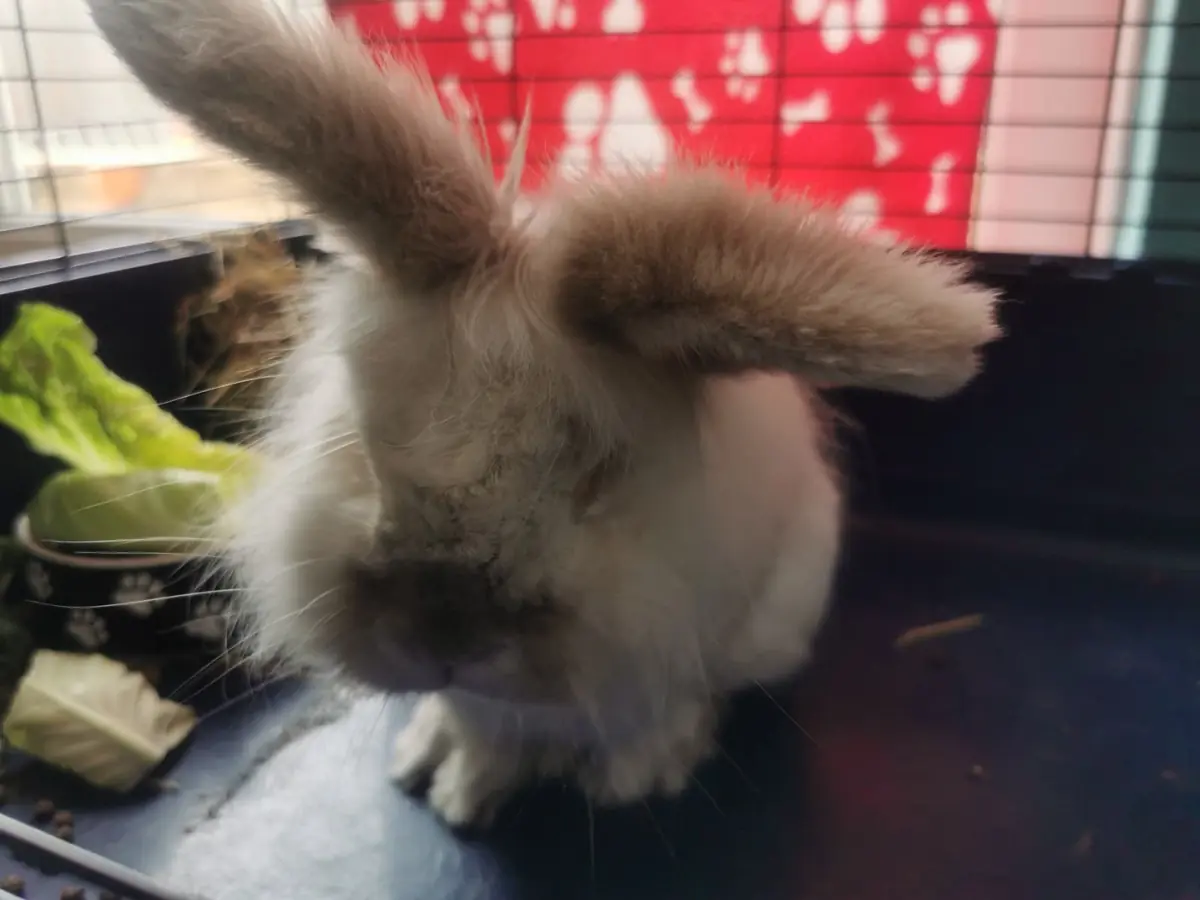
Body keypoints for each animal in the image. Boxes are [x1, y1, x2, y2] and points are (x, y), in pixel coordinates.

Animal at [88, 0, 1001, 828]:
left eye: (598, 473)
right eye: (365, 439)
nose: (443, 633)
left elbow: (652, 717)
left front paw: (631, 783)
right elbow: (480, 730)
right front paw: (457, 793)